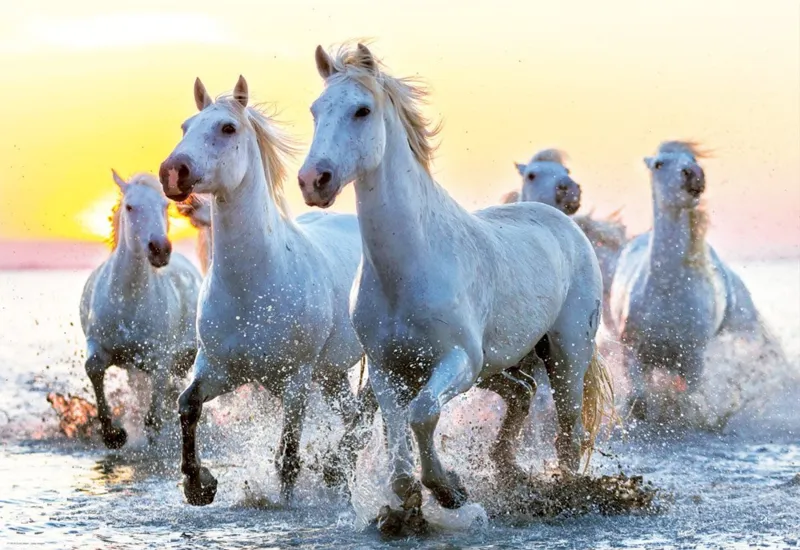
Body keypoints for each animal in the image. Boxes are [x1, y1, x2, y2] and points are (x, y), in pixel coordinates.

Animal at [79, 171, 202, 449]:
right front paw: (113, 435)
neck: (129, 301)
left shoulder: (160, 357)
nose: (160, 249)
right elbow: (93, 367)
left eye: (165, 205)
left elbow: (154, 415)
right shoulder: (97, 343)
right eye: (129, 207)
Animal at [158, 76, 376, 506]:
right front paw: (199, 484)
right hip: (331, 375)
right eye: (186, 126)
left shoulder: (296, 381)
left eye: (228, 128)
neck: (252, 289)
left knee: (364, 415)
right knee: (348, 413)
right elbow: (187, 405)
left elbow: (288, 456)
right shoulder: (219, 369)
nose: (173, 172)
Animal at [298, 43, 613, 515]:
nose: (313, 180)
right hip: (503, 363)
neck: (407, 270)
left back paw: (565, 490)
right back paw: (507, 469)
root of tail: (569, 227)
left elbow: (423, 413)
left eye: (362, 110)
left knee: (569, 429)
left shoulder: (459, 360)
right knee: (521, 393)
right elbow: (395, 428)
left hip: (566, 353)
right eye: (316, 110)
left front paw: (448, 490)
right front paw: (407, 496)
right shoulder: (387, 370)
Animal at [608, 141, 777, 417]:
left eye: (693, 159)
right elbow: (639, 401)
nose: (694, 175)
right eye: (659, 164)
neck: (667, 291)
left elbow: (688, 401)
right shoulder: (633, 352)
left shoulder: (692, 360)